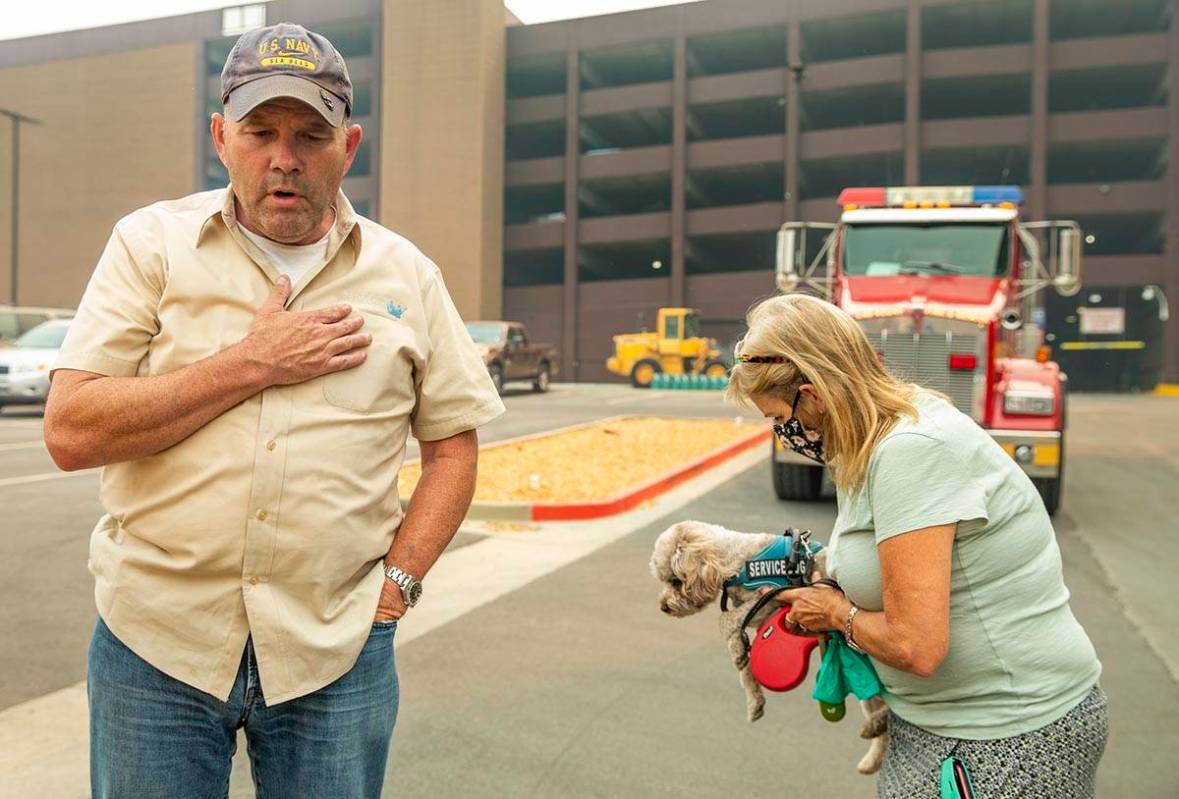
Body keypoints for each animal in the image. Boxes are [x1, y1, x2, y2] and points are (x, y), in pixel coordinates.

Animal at [650, 518, 886, 777]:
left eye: (675, 580)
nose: (663, 607)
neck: (737, 563)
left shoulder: (769, 598)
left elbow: (725, 621)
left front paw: (735, 649)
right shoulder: (758, 614)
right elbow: (745, 660)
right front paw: (752, 693)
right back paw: (873, 746)